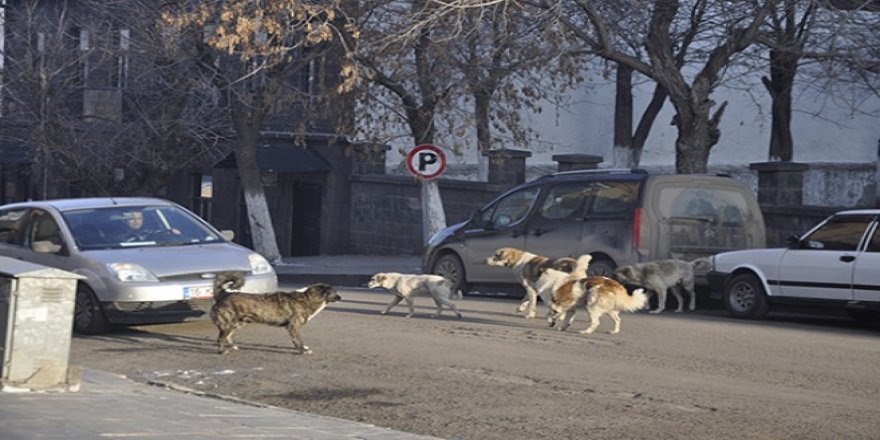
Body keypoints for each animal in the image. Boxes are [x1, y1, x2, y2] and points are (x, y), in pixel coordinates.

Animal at [210, 272, 340, 354]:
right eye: (334, 291)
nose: (341, 297)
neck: (307, 298)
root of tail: (223, 294)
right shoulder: (293, 326)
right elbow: (298, 340)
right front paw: (302, 350)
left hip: (238, 323)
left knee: (228, 336)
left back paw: (233, 346)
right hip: (227, 323)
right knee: (220, 338)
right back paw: (222, 351)